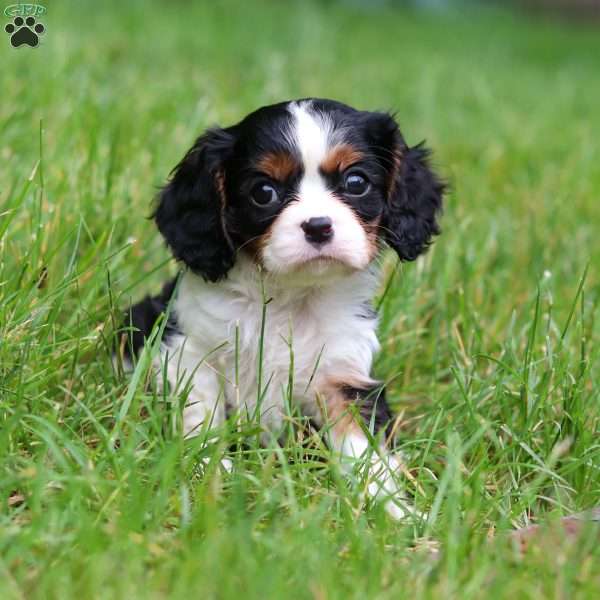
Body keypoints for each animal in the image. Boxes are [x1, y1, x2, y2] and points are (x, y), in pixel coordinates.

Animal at [119, 98, 442, 516]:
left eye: (356, 183)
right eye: (264, 192)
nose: (318, 226)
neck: (289, 296)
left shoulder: (342, 377)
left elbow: (363, 449)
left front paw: (394, 511)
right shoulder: (186, 350)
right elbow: (200, 411)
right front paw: (210, 469)